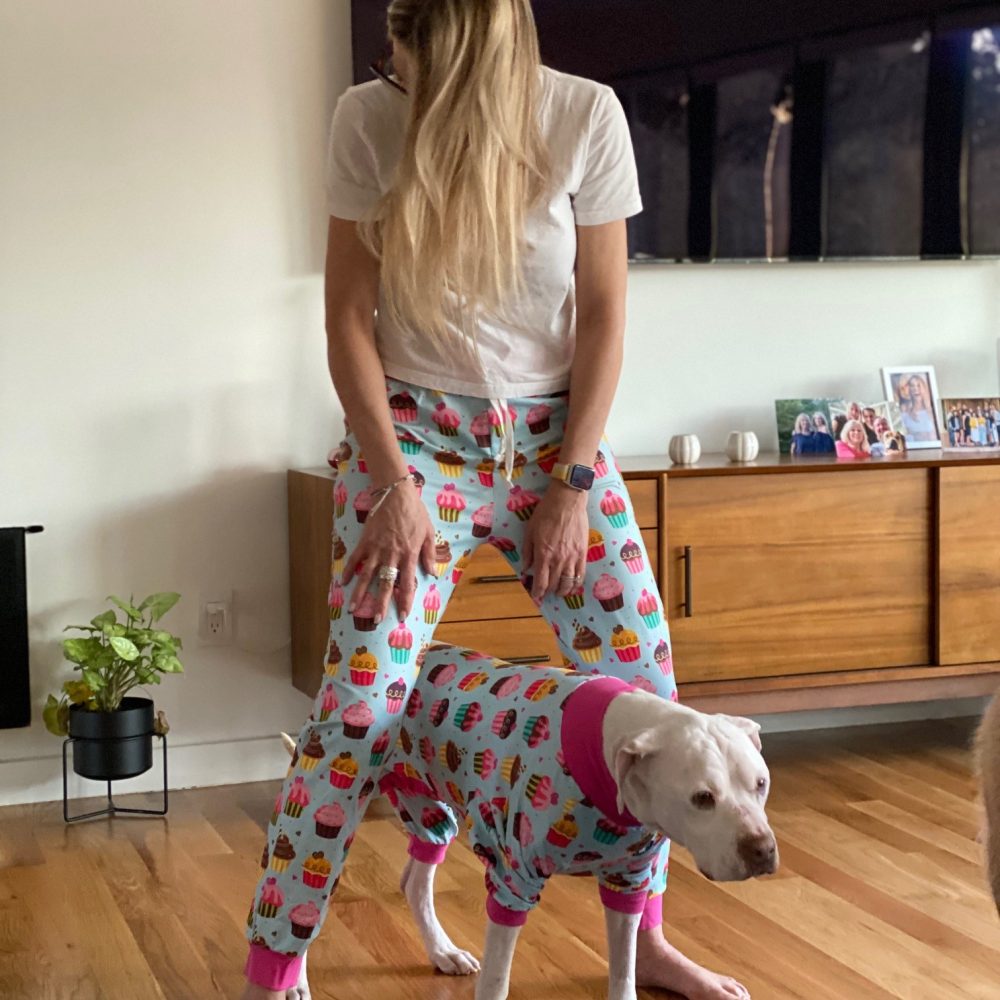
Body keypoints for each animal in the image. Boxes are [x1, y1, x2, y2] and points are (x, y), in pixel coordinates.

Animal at [278, 656, 776, 1000]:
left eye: (761, 783)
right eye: (702, 798)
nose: (763, 850)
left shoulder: (627, 881)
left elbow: (624, 969)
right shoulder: (512, 881)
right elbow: (498, 979)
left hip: (428, 809)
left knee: (415, 881)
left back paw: (441, 951)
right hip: (336, 801)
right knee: (305, 891)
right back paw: (292, 978)